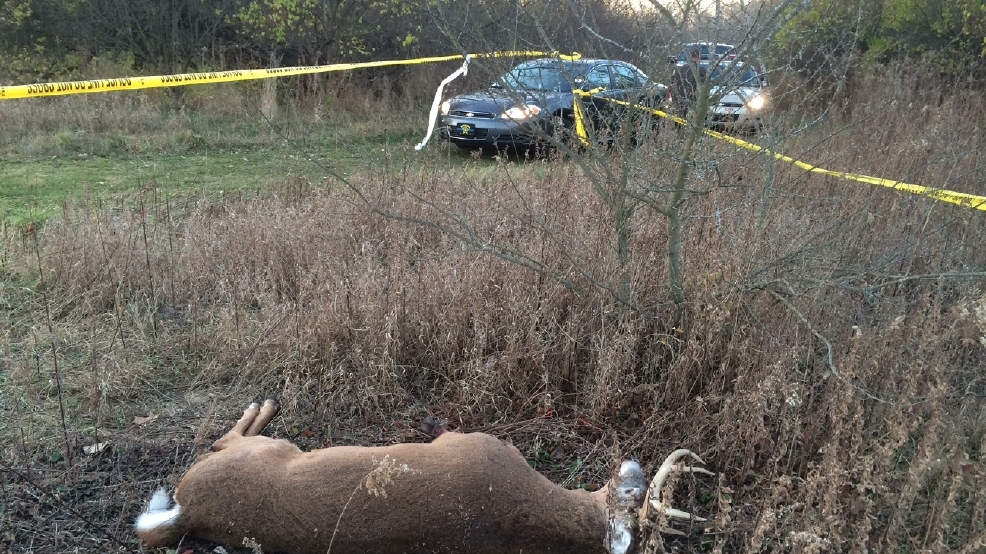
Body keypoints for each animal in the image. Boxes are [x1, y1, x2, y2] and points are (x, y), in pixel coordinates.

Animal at [136, 399, 713, 554]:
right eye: (635, 493)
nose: (633, 464)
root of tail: (189, 511)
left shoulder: (472, 442)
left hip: (264, 453)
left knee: (225, 438)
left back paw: (265, 404)